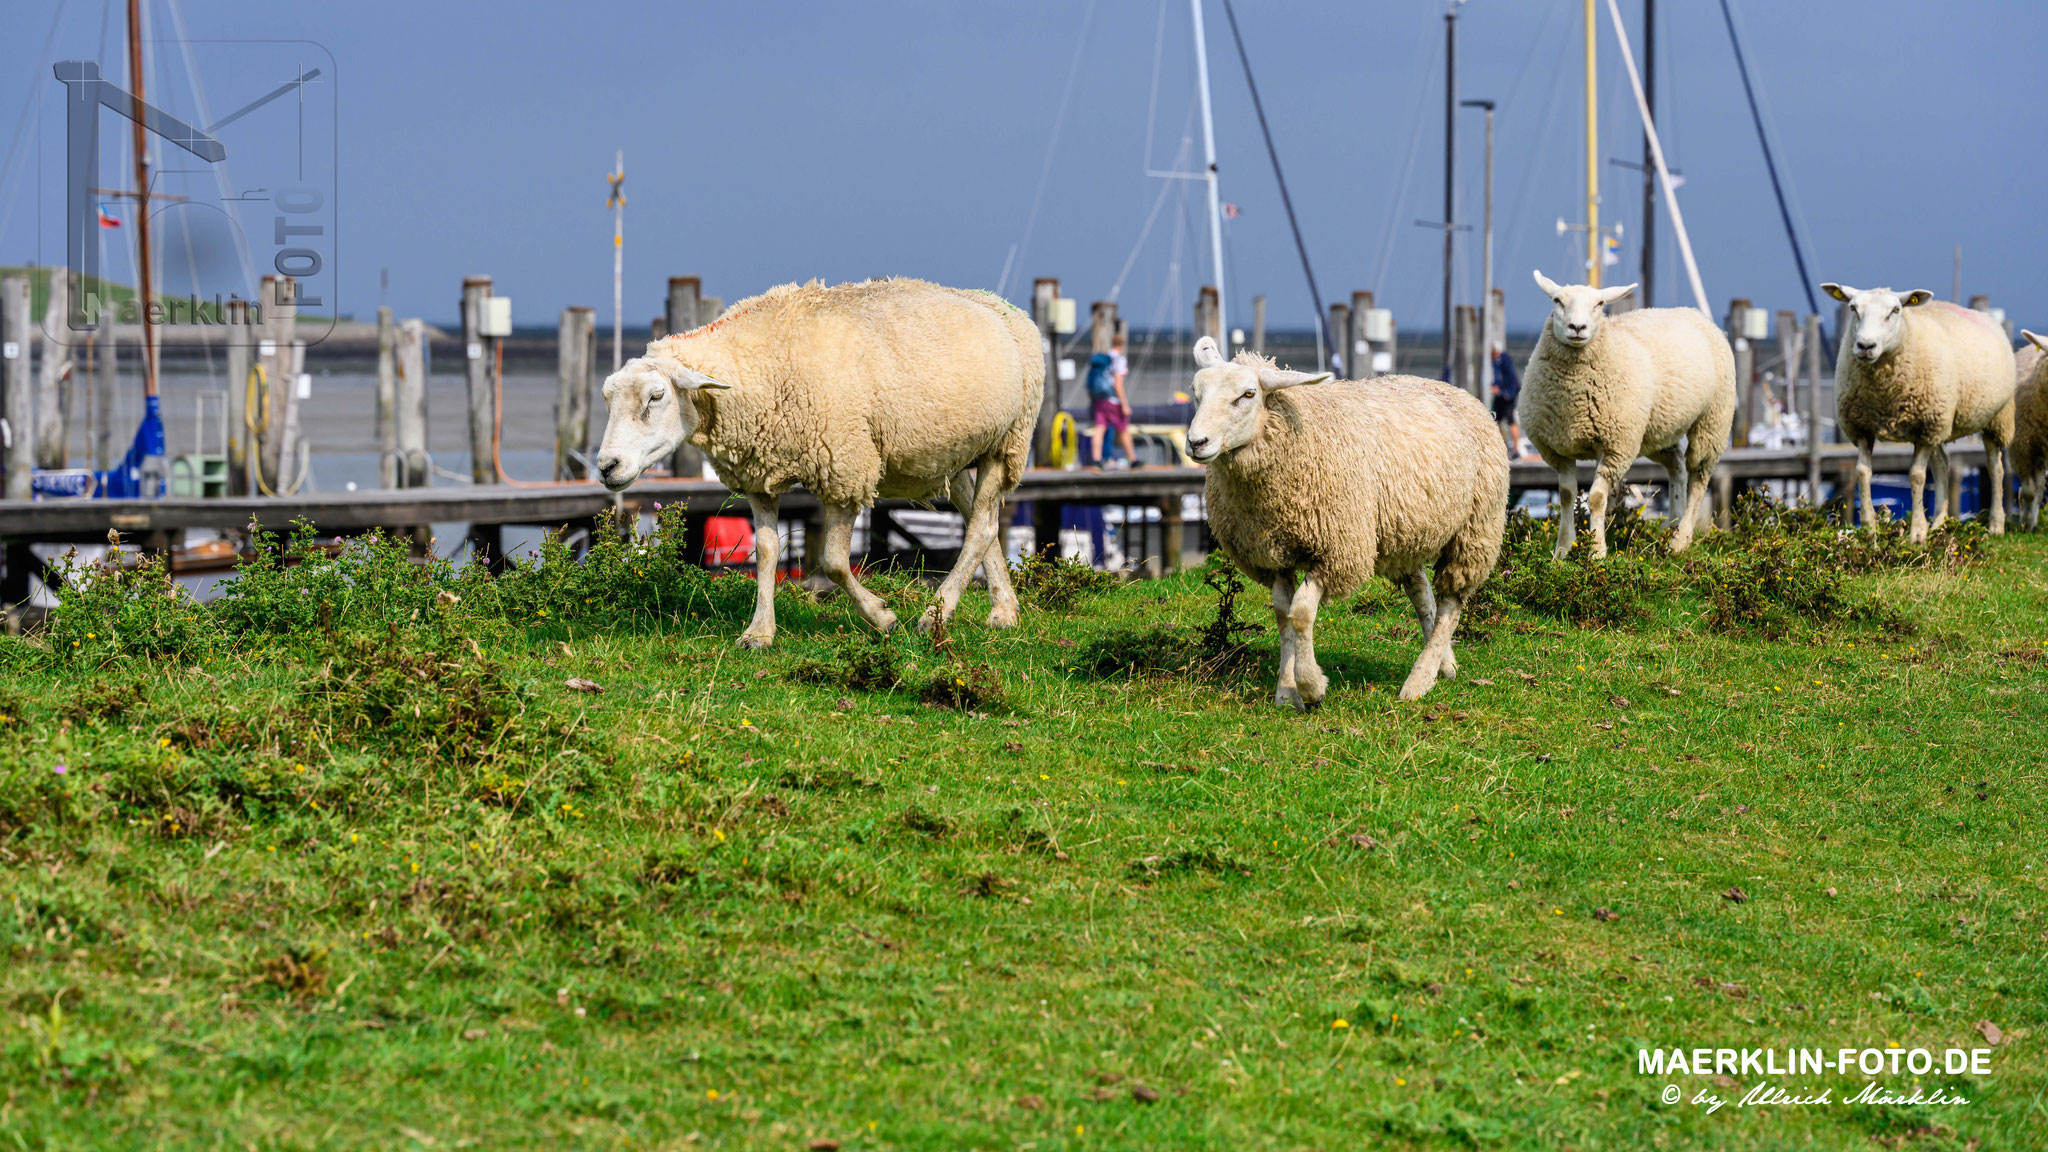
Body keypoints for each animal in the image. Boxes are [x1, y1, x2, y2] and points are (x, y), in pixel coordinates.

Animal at [589, 272, 1040, 639]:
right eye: (606, 398)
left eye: (656, 396)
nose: (606, 467)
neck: (761, 366)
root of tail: (1006, 306)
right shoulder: (759, 473)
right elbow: (767, 552)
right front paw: (759, 632)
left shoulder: (846, 468)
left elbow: (836, 562)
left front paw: (882, 616)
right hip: (955, 453)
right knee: (982, 524)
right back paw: (1004, 610)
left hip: (1007, 442)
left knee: (980, 529)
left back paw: (936, 614)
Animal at [1187, 336, 1507, 705]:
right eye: (1196, 392)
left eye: (1248, 394)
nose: (1196, 443)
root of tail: (1459, 391)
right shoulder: (1273, 555)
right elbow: (1283, 615)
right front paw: (1286, 692)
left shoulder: (1338, 552)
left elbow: (1300, 614)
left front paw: (1310, 685)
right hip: (1402, 531)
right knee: (1421, 591)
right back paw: (1445, 663)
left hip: (1475, 528)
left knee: (1451, 602)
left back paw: (1420, 678)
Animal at [1523, 268, 1728, 557]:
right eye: (1557, 301)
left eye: (1599, 304)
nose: (1577, 328)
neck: (1574, 401)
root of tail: (1694, 313)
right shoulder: (1557, 449)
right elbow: (1566, 495)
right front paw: (1562, 550)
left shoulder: (1615, 447)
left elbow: (1596, 498)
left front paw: (1597, 551)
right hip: (1655, 430)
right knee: (1677, 466)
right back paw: (1672, 526)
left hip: (1712, 421)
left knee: (1699, 477)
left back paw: (1681, 540)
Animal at [1826, 282, 2015, 541]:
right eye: (1853, 308)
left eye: (1895, 310)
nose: (1865, 346)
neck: (1883, 395)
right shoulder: (1862, 427)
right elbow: (1863, 473)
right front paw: (1869, 530)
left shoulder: (1925, 428)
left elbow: (1917, 476)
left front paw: (1917, 533)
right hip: (1941, 422)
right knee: (1943, 465)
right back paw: (1939, 524)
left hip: (1994, 418)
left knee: (1995, 468)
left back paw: (1996, 524)